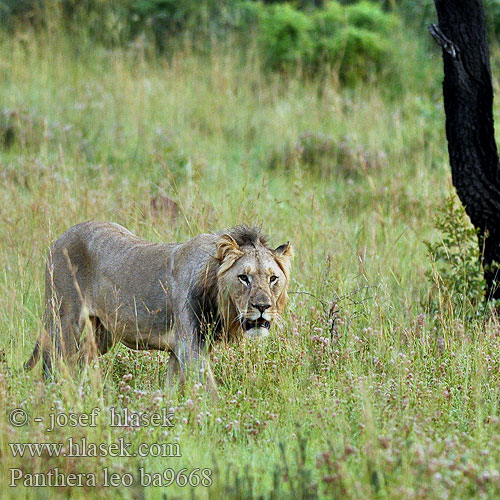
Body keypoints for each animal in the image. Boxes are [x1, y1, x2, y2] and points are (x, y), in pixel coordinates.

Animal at [25, 222, 292, 390]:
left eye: (272, 278)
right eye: (243, 277)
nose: (262, 306)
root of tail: (59, 239)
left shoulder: (180, 350)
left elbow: (171, 391)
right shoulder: (190, 347)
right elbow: (209, 392)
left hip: (103, 334)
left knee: (78, 361)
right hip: (64, 321)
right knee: (52, 364)